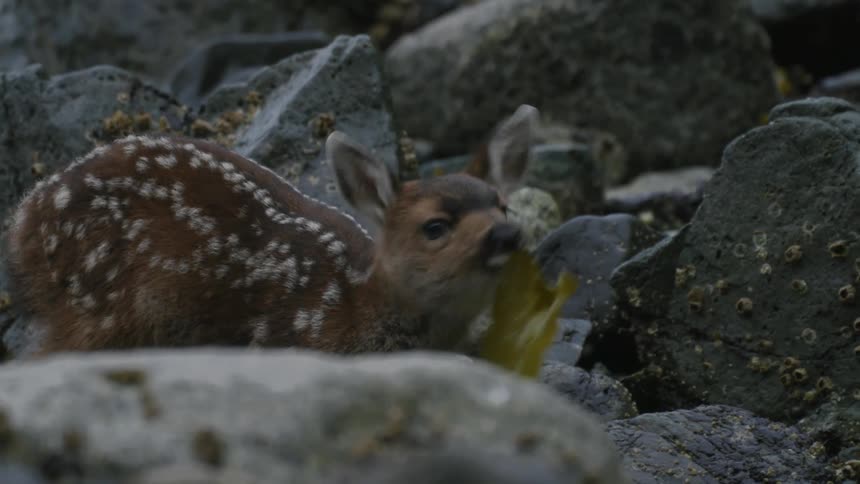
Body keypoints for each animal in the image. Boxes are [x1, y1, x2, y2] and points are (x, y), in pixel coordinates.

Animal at [4, 113, 536, 356]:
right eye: (435, 226)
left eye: (502, 203)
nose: (507, 234)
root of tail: (23, 221)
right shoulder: (289, 339)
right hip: (100, 298)